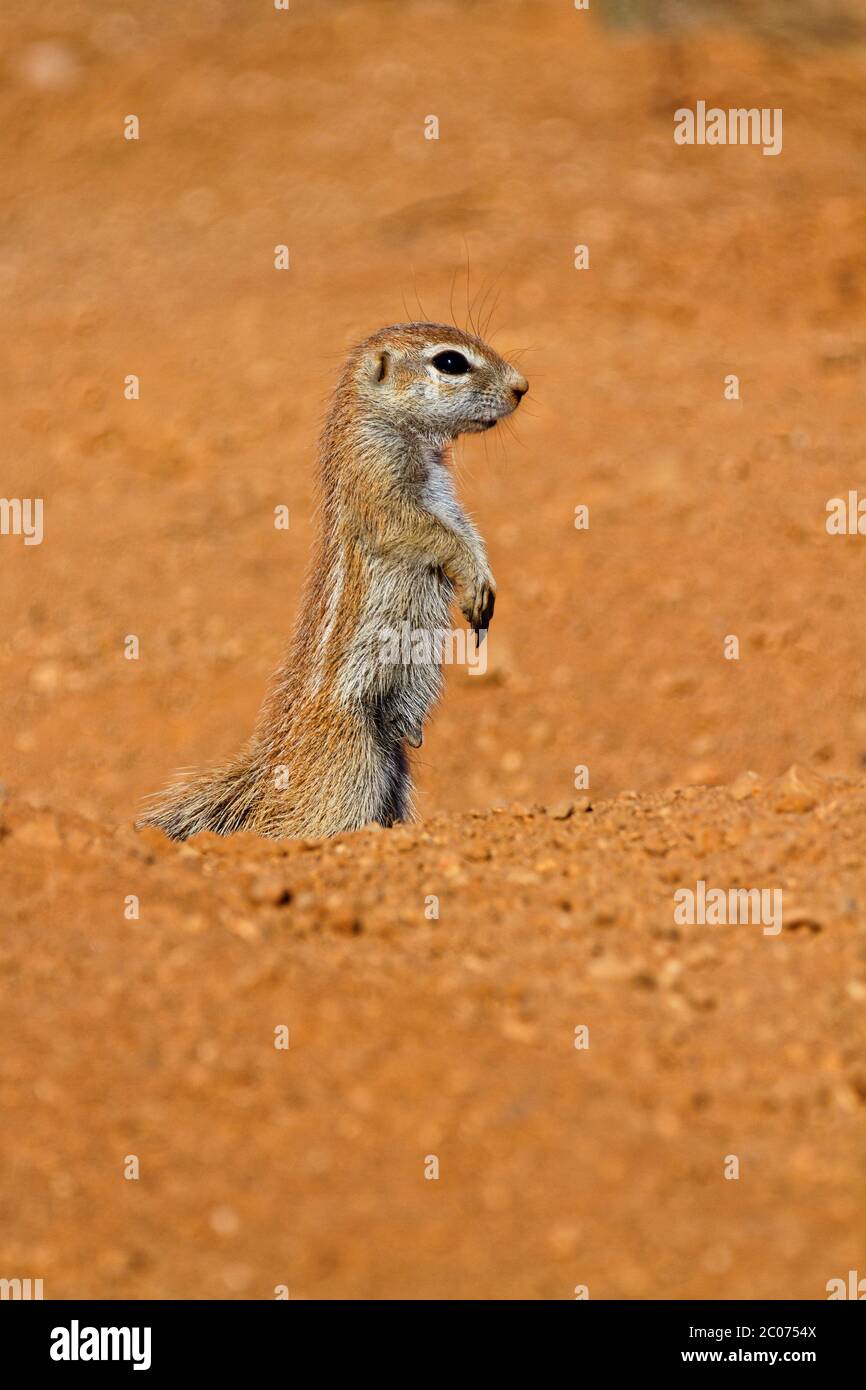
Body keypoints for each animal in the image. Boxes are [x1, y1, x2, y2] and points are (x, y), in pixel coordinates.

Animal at [140, 323, 528, 834]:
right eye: (450, 362)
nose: (522, 386)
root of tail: (269, 769)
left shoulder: (447, 500)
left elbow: (465, 530)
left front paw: (484, 579)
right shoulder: (379, 486)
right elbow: (432, 536)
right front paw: (474, 582)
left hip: (395, 770)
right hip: (353, 763)